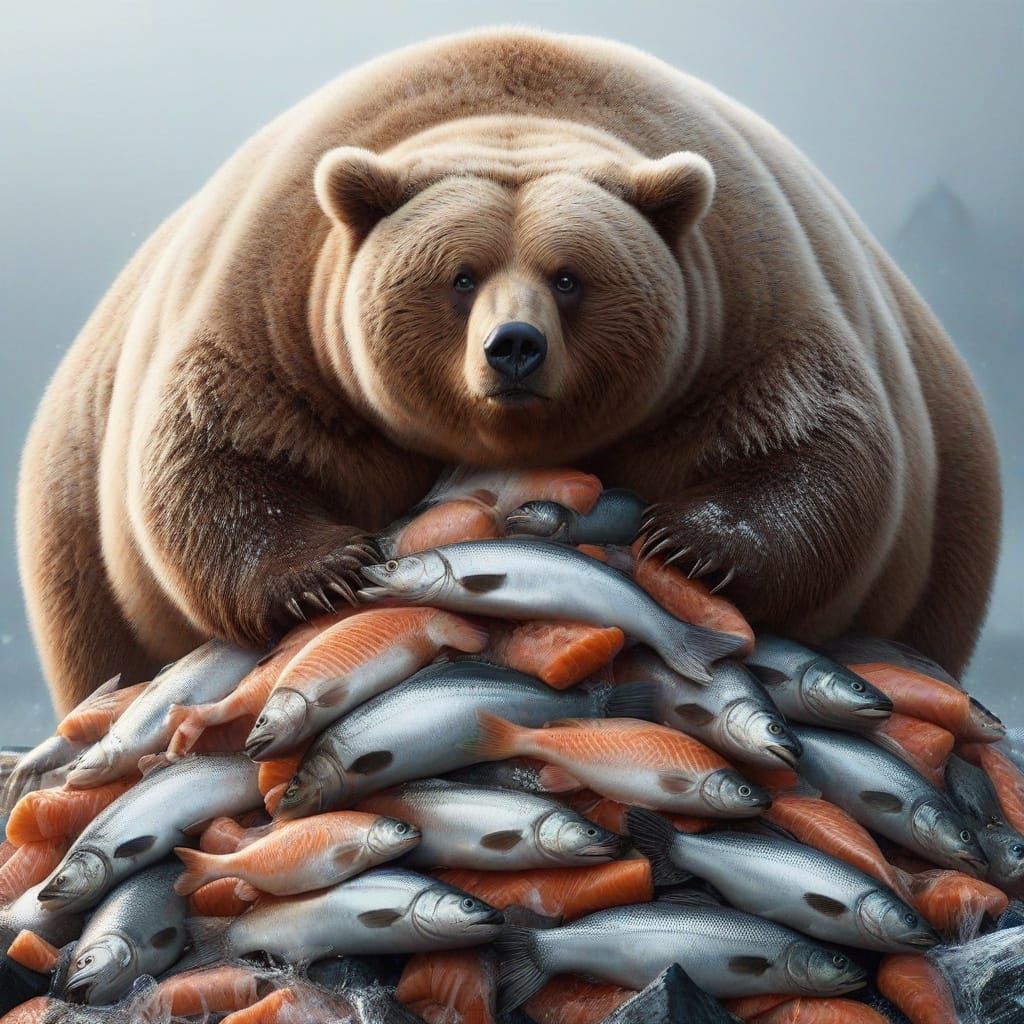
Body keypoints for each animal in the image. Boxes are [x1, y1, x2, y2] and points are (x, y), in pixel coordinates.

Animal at [17, 27, 1000, 714]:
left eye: (569, 276)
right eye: (460, 278)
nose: (514, 346)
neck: (514, 115)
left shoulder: (744, 291)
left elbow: (817, 438)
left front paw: (693, 542)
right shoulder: (279, 300)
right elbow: (215, 447)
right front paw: (322, 570)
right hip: (78, 568)